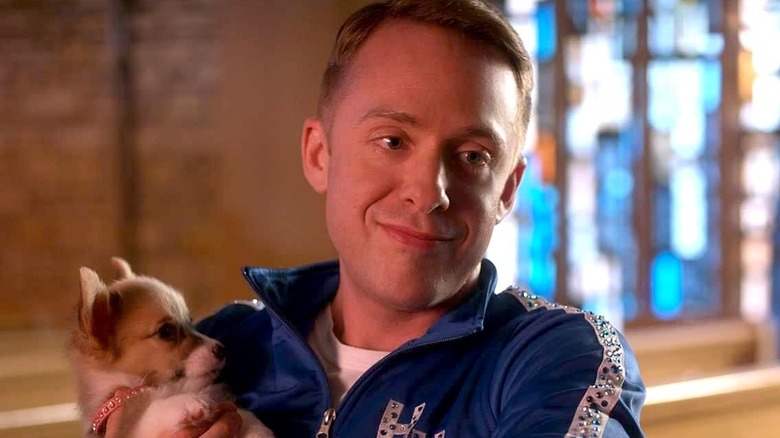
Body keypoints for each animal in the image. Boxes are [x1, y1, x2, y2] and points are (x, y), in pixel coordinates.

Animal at [68, 258, 274, 436]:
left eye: (190, 322)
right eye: (166, 331)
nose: (222, 349)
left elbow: (246, 417)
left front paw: (260, 432)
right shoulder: (128, 426)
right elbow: (151, 411)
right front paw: (186, 402)